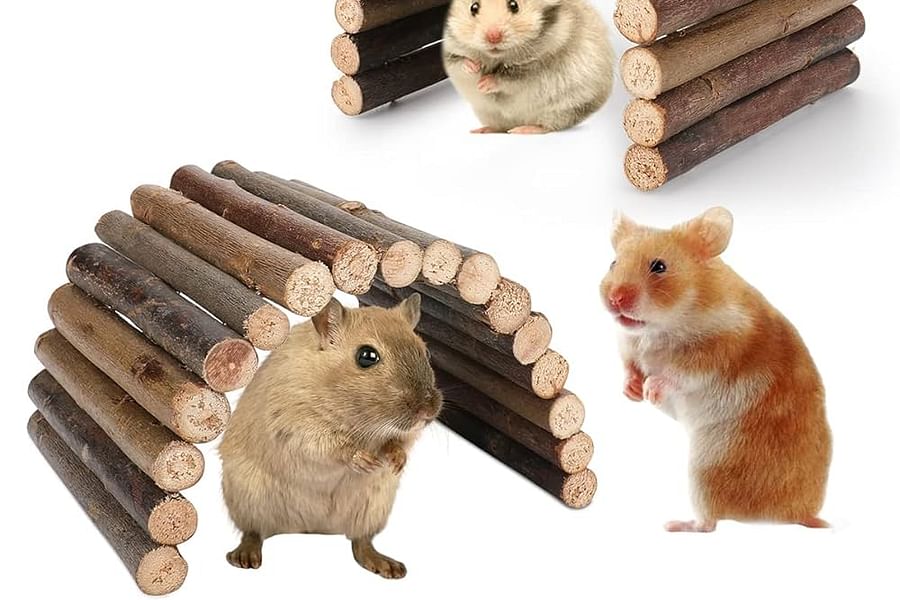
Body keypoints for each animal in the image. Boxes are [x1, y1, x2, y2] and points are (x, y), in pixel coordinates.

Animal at [219, 295, 443, 578]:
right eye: (366, 356)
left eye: (426, 352)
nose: (428, 411)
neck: (365, 424)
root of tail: (312, 528)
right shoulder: (296, 424)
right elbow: (332, 447)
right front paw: (365, 460)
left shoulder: (404, 434)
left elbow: (399, 443)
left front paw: (395, 462)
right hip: (248, 500)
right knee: (253, 532)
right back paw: (245, 557)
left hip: (372, 509)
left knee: (361, 542)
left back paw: (388, 566)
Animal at [442, 0, 615, 134]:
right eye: (473, 7)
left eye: (514, 5)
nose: (493, 37)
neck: (496, 57)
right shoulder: (450, 53)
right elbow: (459, 62)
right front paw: (474, 68)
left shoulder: (536, 65)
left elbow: (510, 77)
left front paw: (483, 84)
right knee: (500, 127)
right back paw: (482, 130)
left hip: (565, 108)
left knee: (548, 126)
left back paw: (523, 130)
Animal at [600, 208, 832, 533]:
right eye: (613, 263)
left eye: (659, 266)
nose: (615, 299)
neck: (661, 325)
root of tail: (795, 515)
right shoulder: (627, 346)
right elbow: (629, 367)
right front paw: (632, 391)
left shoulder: (714, 353)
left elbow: (676, 374)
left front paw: (650, 391)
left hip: (706, 468)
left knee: (709, 523)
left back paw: (675, 525)